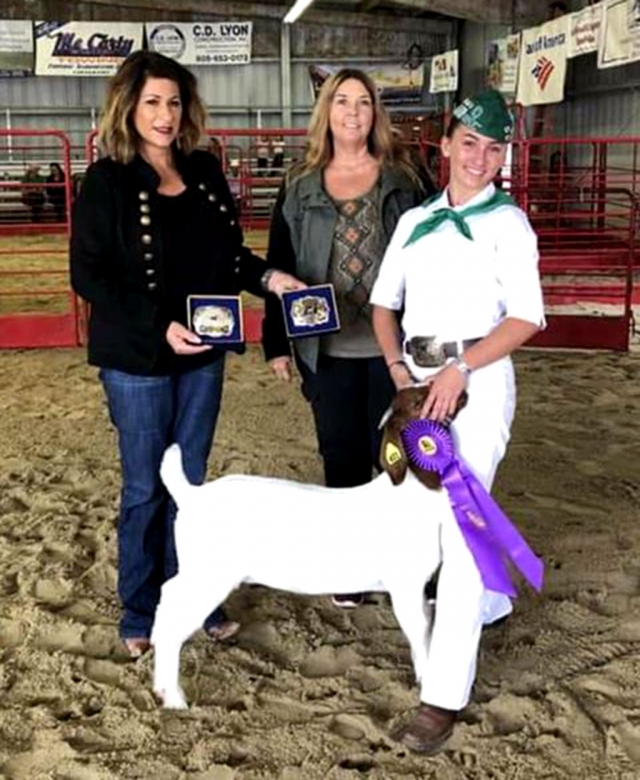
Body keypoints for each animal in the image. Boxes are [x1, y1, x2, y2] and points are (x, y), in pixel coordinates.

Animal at [151, 386, 484, 708]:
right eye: (419, 401)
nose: (462, 390)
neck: (411, 493)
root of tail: (191, 495)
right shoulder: (406, 584)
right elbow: (421, 633)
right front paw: (427, 684)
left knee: (167, 595)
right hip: (209, 575)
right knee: (173, 619)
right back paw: (174, 698)